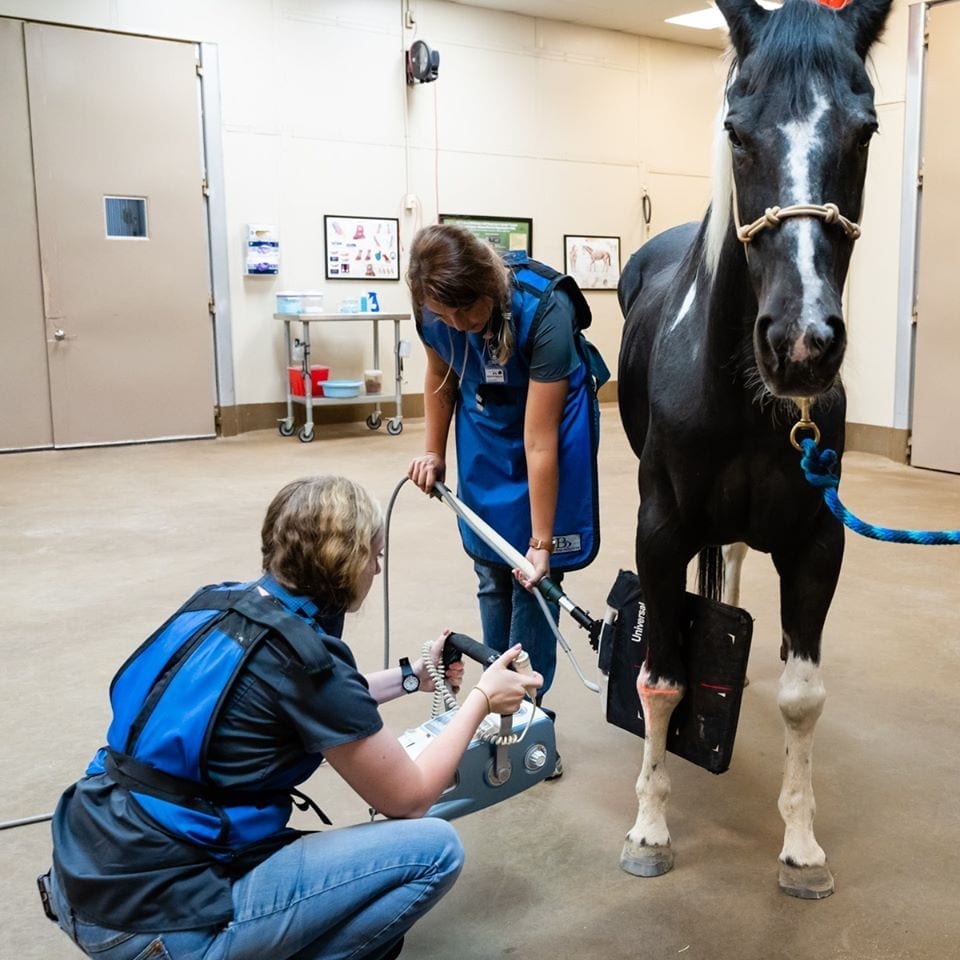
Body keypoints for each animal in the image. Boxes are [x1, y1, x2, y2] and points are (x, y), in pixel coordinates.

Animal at [616, 0, 892, 900]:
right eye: (737, 132)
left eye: (866, 131)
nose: (801, 345)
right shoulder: (660, 533)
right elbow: (660, 678)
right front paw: (650, 827)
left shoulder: (817, 542)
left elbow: (803, 696)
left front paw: (801, 846)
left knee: (732, 560)